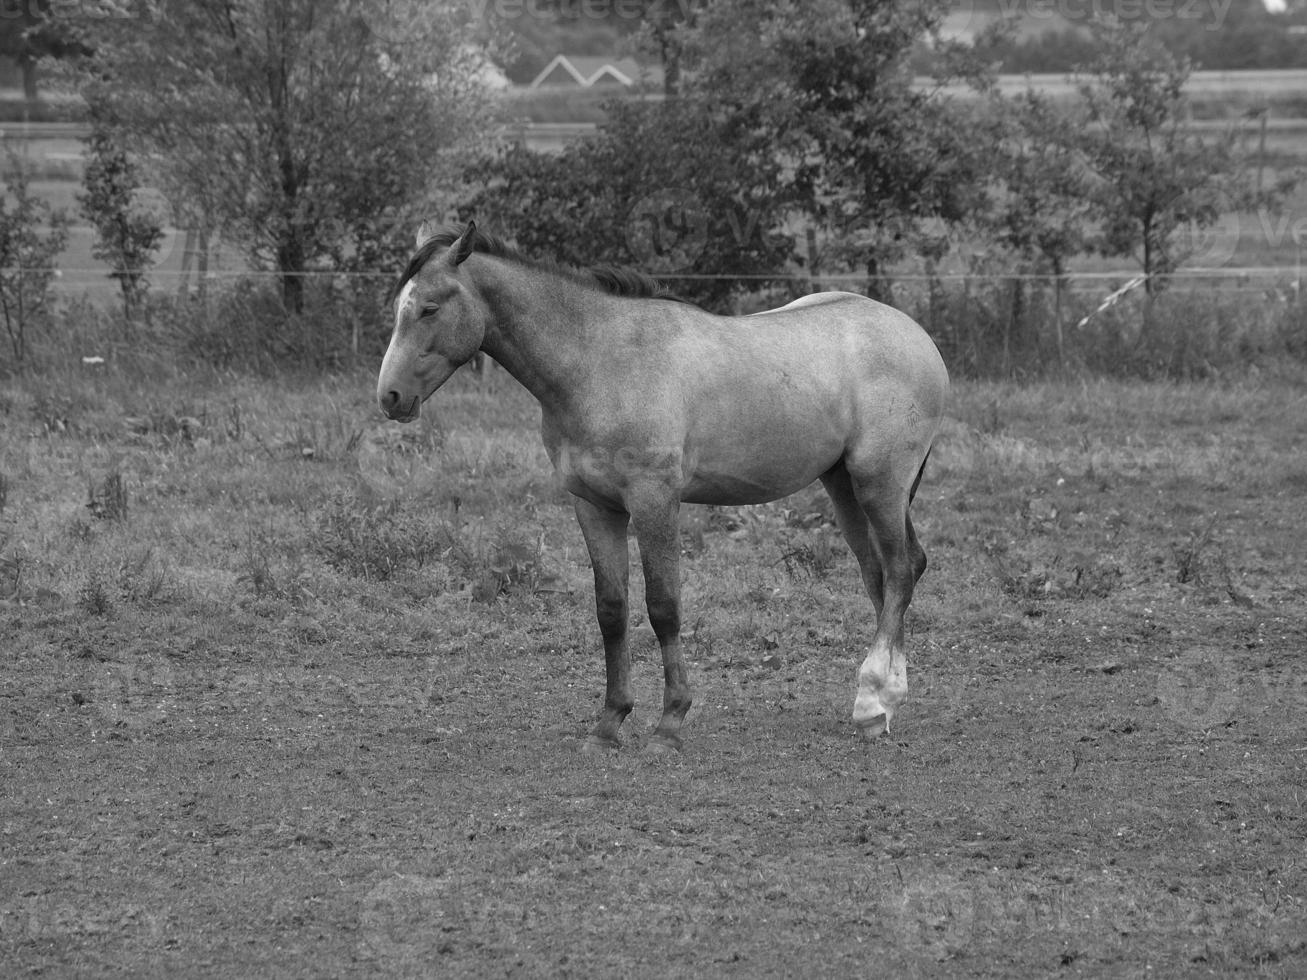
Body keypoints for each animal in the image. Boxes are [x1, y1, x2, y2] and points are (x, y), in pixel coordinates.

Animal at [379, 224, 951, 757]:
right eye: (399, 308)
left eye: (429, 308)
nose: (390, 397)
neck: (600, 363)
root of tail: (916, 336)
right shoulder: (595, 508)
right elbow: (611, 610)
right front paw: (609, 724)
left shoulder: (654, 502)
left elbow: (663, 607)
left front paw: (669, 723)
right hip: (844, 488)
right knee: (882, 576)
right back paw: (884, 703)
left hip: (879, 483)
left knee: (901, 570)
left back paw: (873, 700)